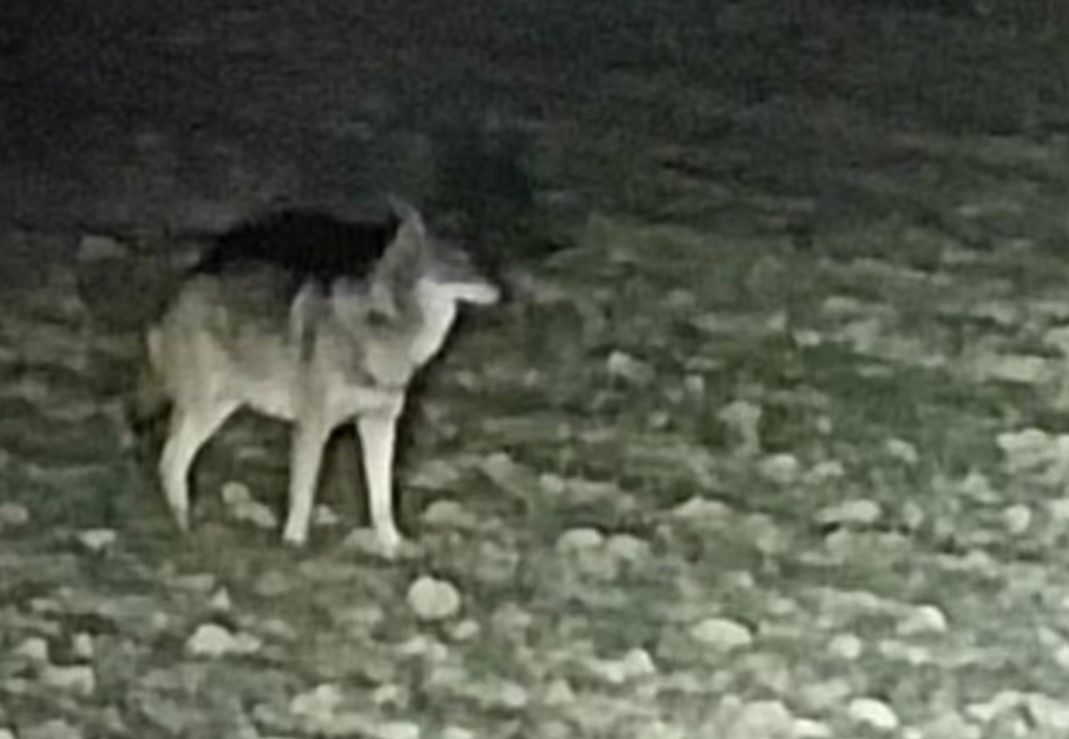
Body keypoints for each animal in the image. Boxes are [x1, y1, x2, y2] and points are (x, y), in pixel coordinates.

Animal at [143, 198, 499, 554]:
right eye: (456, 262)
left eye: (472, 258)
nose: (498, 290)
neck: (384, 324)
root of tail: (176, 298)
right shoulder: (312, 426)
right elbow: (304, 493)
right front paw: (294, 545)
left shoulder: (379, 423)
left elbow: (381, 500)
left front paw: (392, 548)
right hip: (205, 409)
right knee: (171, 461)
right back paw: (183, 531)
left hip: (219, 408)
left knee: (169, 460)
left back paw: (184, 529)